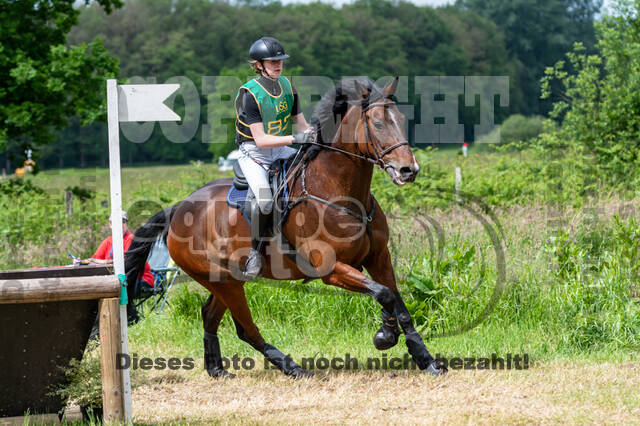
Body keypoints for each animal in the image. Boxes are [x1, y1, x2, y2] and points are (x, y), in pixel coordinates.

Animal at [125, 76, 445, 377]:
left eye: (400, 120)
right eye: (377, 123)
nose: (408, 170)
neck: (341, 192)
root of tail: (178, 208)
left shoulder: (378, 257)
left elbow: (397, 301)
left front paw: (425, 359)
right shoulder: (331, 268)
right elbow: (384, 294)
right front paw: (385, 335)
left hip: (226, 280)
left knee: (210, 315)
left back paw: (217, 369)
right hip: (223, 280)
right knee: (246, 329)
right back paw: (293, 368)